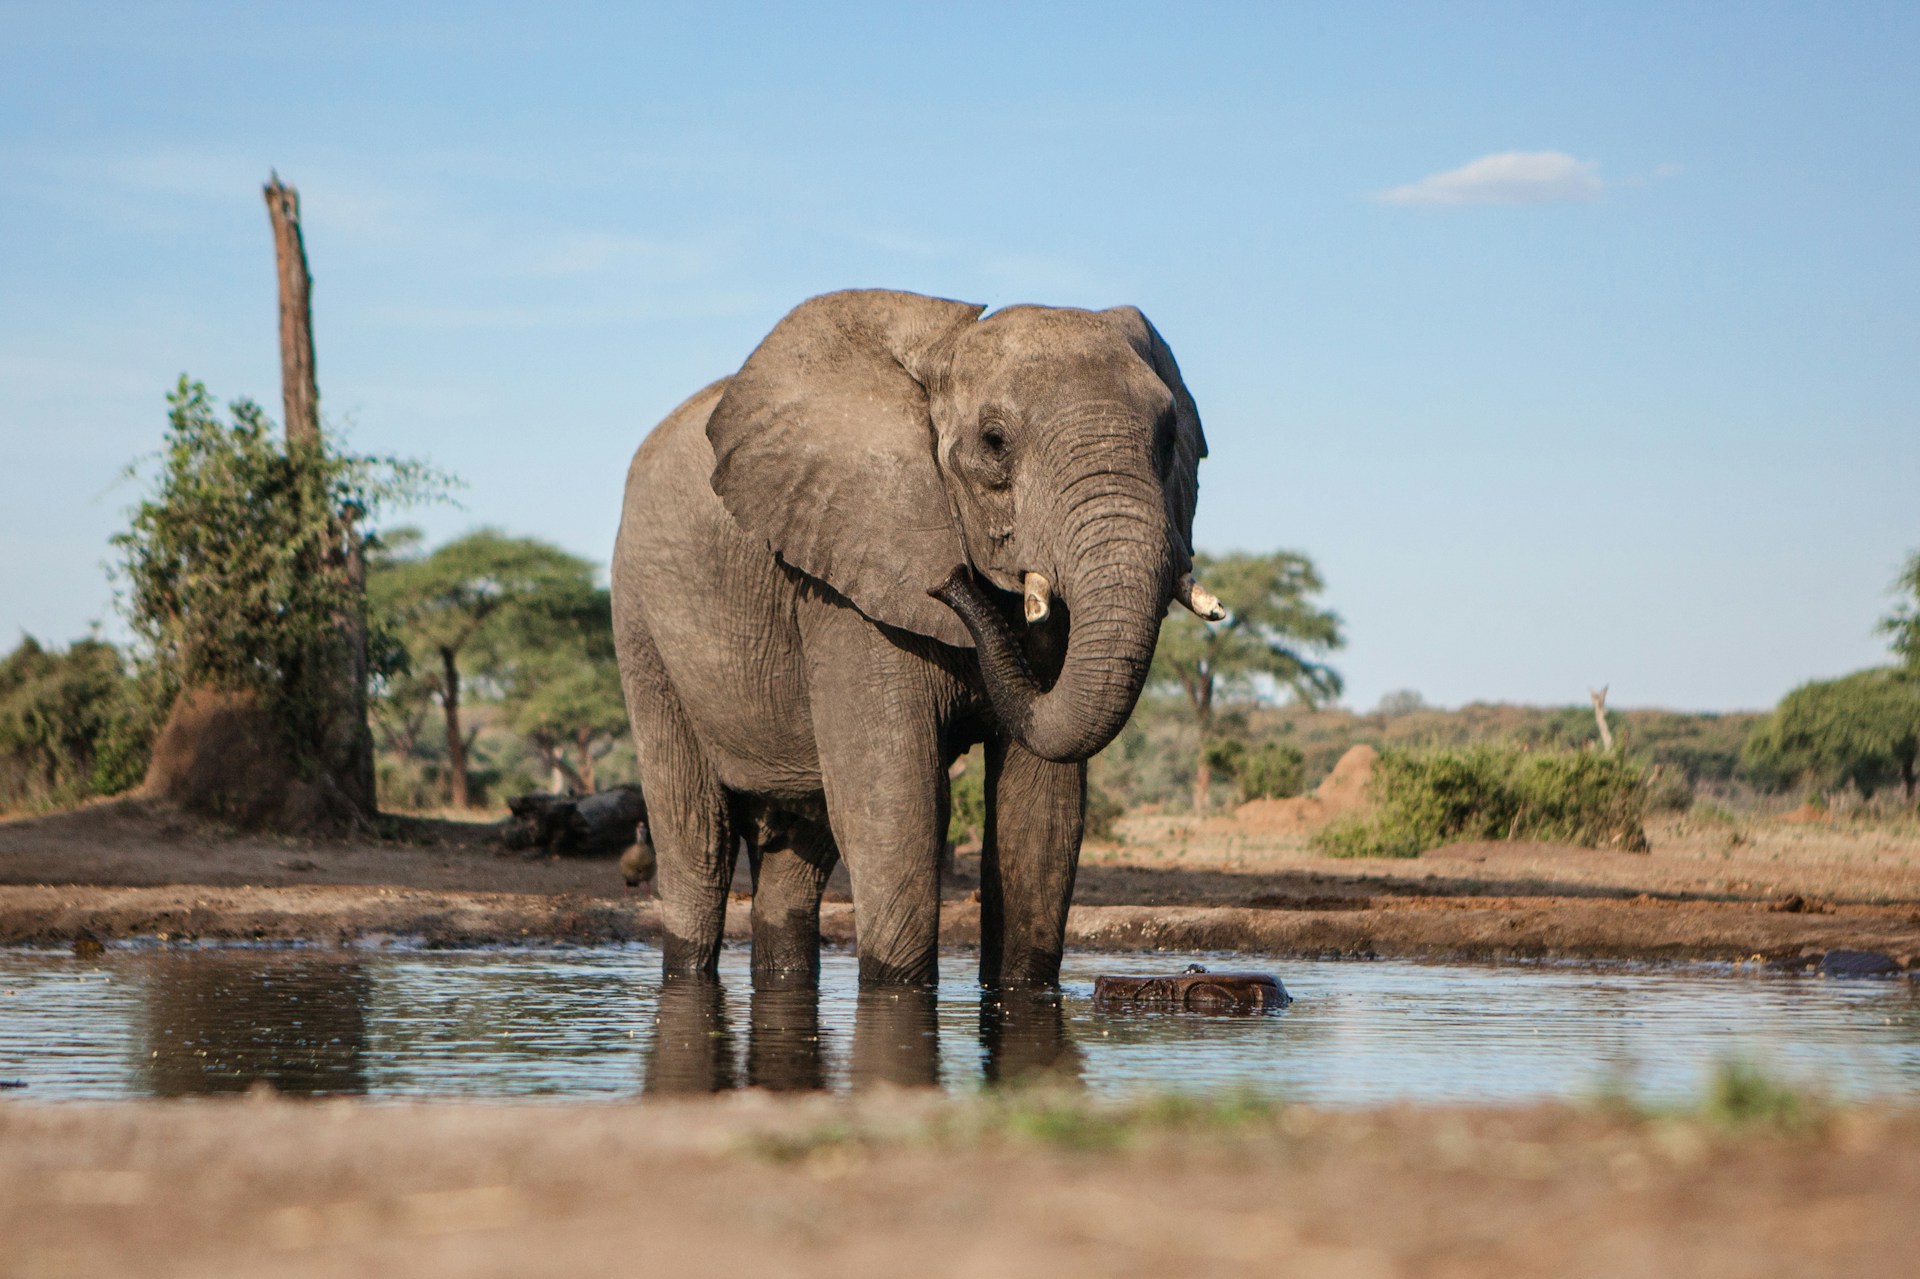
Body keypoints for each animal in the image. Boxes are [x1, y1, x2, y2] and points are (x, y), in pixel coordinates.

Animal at [612, 288, 1217, 989]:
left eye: (1170, 439)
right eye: (994, 441)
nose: (953, 580)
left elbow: (1041, 815)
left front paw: (1021, 991)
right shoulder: (847, 583)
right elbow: (896, 806)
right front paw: (896, 991)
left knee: (799, 850)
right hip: (641, 620)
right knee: (697, 840)